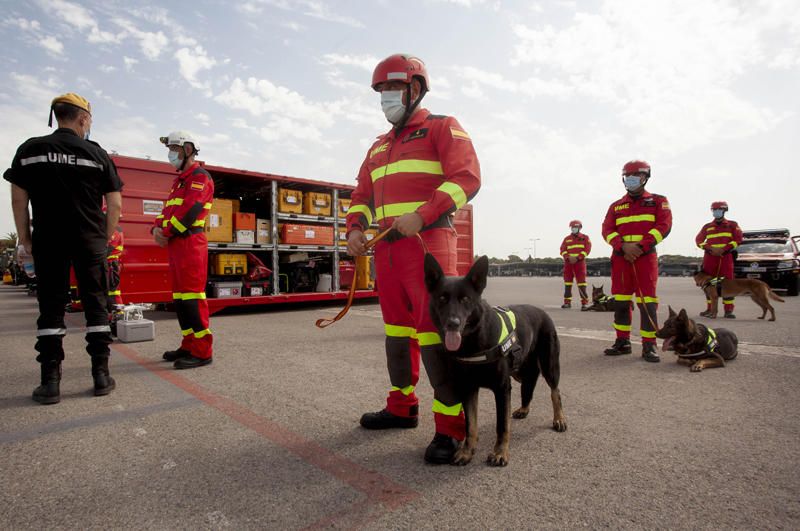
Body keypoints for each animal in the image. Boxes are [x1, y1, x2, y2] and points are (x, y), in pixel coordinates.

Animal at [422, 254, 564, 466]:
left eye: (465, 299)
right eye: (442, 298)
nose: (453, 323)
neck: (474, 342)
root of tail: (542, 311)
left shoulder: (502, 388)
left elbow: (502, 425)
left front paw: (500, 453)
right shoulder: (468, 388)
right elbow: (470, 425)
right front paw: (467, 451)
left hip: (549, 365)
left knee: (555, 392)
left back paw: (559, 419)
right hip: (519, 371)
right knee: (529, 383)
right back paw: (524, 409)